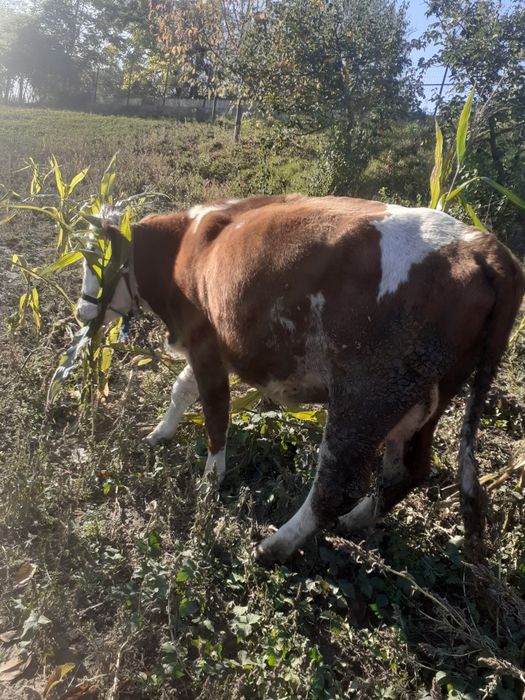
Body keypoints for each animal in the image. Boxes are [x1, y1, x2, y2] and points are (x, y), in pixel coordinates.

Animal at [77, 195, 525, 565]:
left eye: (95, 259)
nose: (82, 314)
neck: (184, 246)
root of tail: (481, 245)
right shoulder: (217, 349)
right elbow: (180, 390)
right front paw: (160, 433)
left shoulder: (205, 343)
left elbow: (216, 414)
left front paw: (210, 479)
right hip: (426, 399)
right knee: (408, 471)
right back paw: (357, 520)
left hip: (365, 395)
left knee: (335, 484)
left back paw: (276, 545)